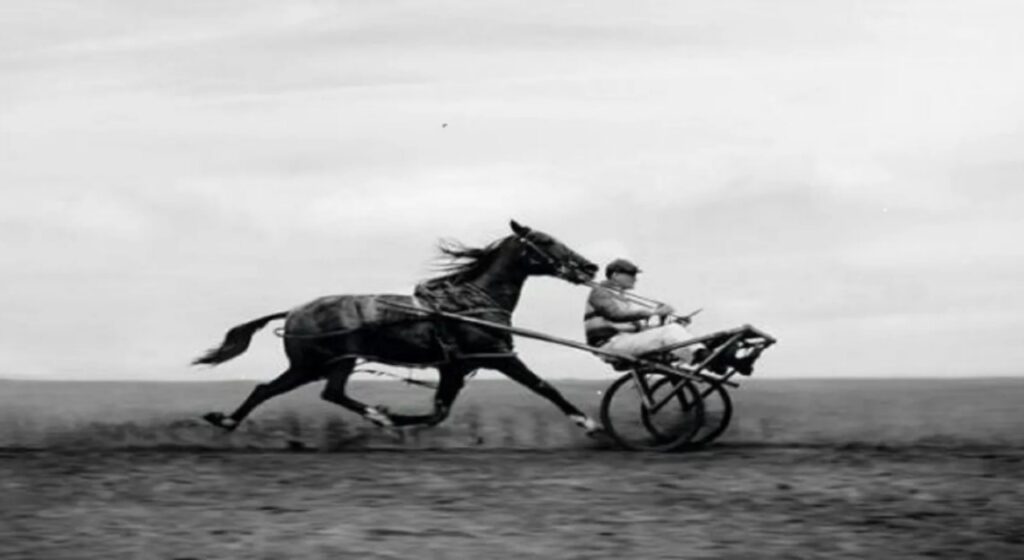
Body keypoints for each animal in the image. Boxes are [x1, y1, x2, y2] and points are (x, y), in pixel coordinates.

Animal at [193, 220, 604, 435]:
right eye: (546, 240)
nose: (590, 266)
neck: (469, 304)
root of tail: (293, 311)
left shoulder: (455, 367)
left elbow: (439, 412)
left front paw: (399, 419)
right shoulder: (497, 356)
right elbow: (544, 386)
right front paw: (587, 421)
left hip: (325, 364)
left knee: (300, 391)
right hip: (320, 363)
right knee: (296, 391)